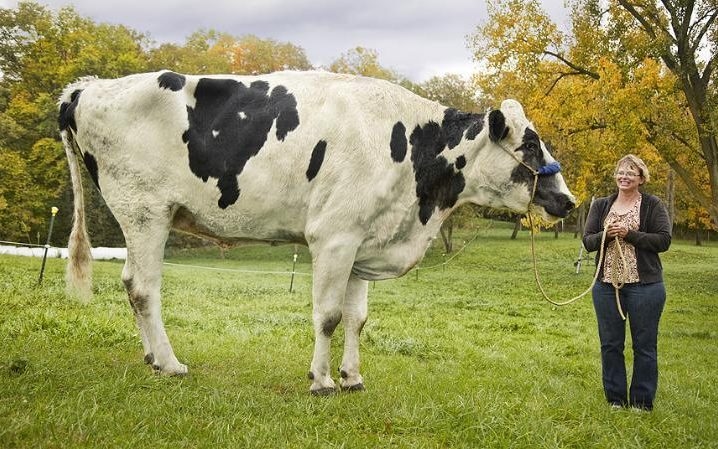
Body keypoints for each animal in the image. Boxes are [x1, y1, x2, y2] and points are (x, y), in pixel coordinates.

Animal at [58, 70, 575, 394]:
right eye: (530, 144)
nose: (568, 200)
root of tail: (88, 88)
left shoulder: (364, 241)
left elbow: (357, 318)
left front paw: (352, 378)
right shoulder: (334, 237)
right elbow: (328, 316)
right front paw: (322, 381)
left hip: (142, 217)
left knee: (131, 283)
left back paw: (151, 359)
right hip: (146, 211)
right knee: (145, 288)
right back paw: (169, 364)